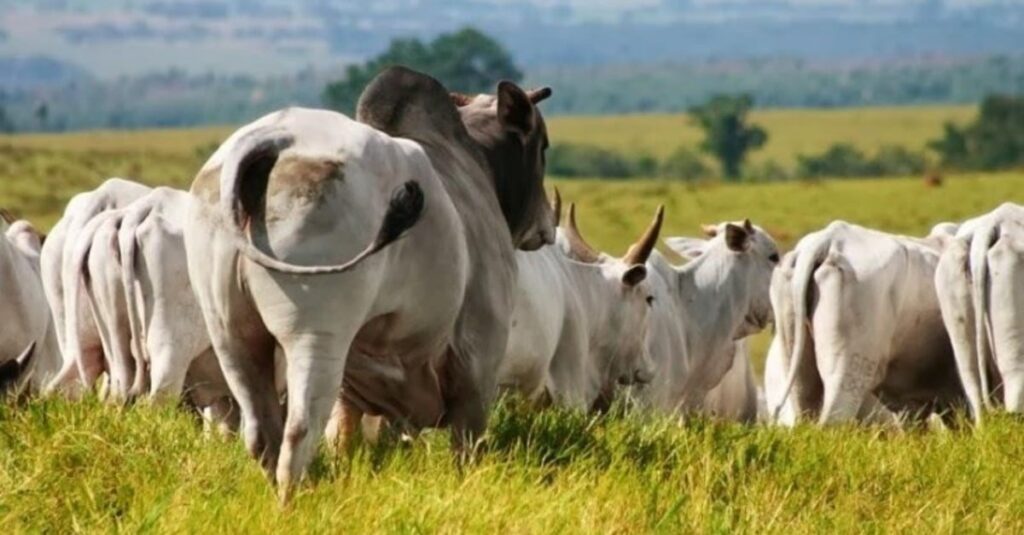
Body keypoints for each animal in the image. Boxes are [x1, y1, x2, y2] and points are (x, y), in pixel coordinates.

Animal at [183, 66, 554, 499]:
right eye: (542, 145)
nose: (546, 225)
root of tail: (274, 139)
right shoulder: (479, 358)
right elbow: (467, 444)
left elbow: (344, 436)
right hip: (316, 333)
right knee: (299, 430)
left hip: (230, 334)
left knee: (261, 433)